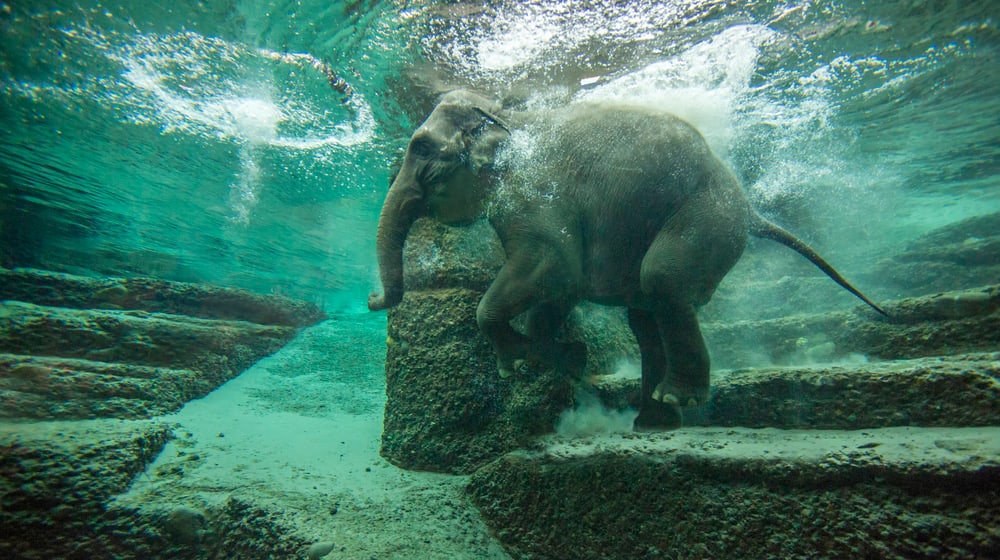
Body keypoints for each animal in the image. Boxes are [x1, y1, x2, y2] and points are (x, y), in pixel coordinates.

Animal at [369, 89, 886, 430]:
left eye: (421, 148)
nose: (373, 299)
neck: (507, 115)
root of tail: (751, 209)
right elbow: (559, 288)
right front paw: (567, 360)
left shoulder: (534, 192)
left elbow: (551, 264)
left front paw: (516, 364)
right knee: (645, 316)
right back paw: (654, 420)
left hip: (705, 216)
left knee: (663, 282)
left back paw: (676, 398)